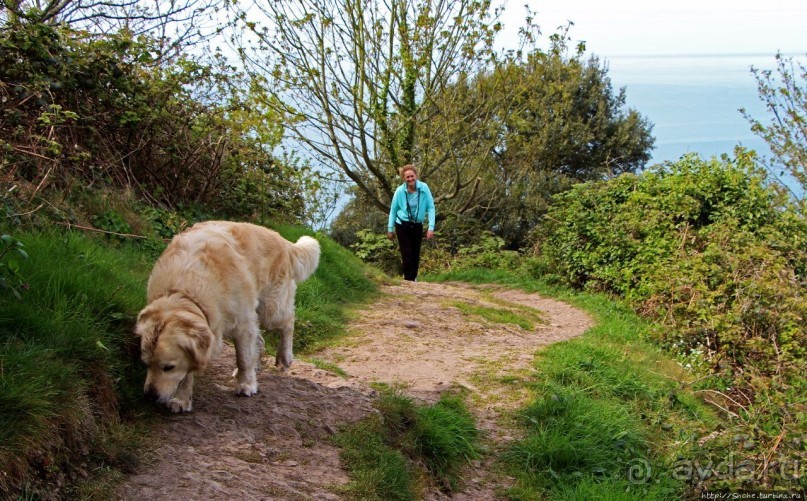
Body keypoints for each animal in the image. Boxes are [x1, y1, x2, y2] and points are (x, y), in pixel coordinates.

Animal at [135, 221, 318, 412]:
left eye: (168, 367)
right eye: (146, 364)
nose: (150, 396)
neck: (182, 293)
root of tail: (281, 239)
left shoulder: (242, 323)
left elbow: (243, 358)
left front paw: (246, 385)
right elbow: (188, 372)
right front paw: (182, 399)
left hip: (271, 309)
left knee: (288, 321)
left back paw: (284, 357)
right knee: (260, 341)